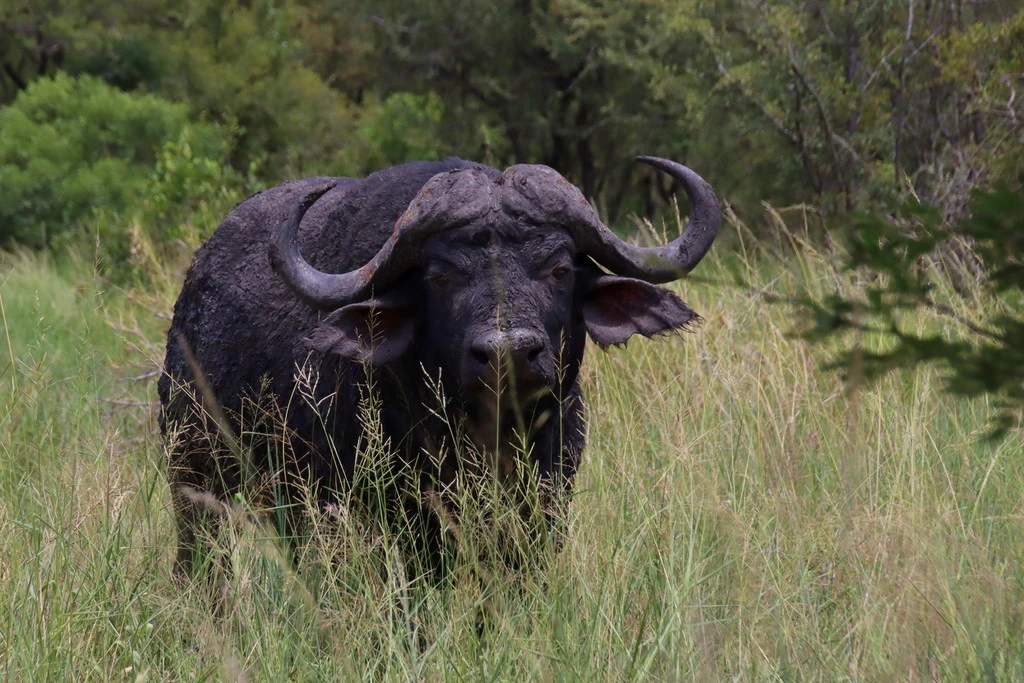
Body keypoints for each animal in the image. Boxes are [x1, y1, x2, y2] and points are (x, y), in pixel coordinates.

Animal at [159, 157, 720, 585]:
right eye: (441, 276)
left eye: (560, 269)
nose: (509, 352)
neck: (484, 438)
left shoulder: (546, 504)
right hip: (195, 471)